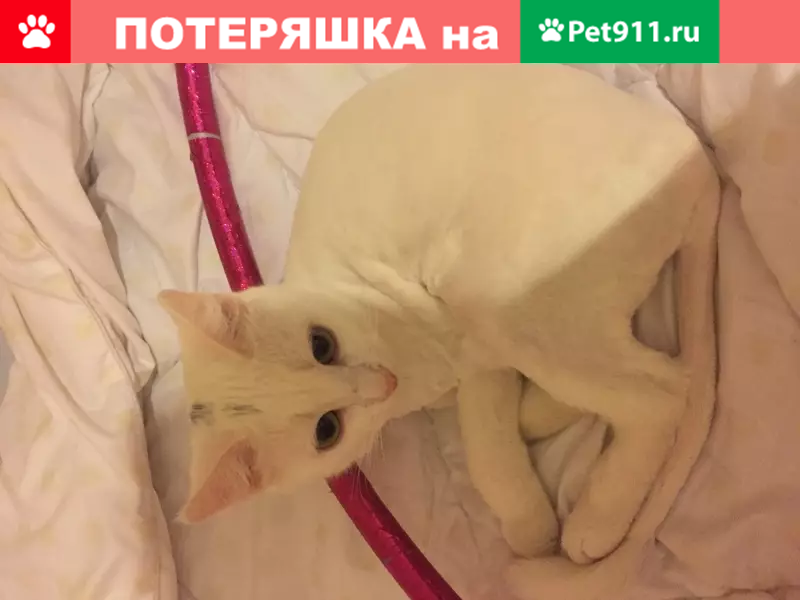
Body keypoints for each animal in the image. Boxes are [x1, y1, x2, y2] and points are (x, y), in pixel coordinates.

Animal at [159, 64, 719, 569]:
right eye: (326, 430)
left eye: (321, 343)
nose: (378, 383)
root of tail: (699, 164)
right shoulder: (478, 368)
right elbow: (489, 439)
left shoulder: (474, 346)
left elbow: (488, 452)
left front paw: (532, 528)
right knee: (657, 370)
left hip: (498, 298)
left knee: (663, 393)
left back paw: (597, 520)